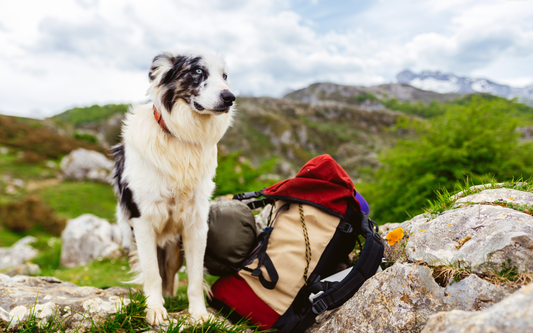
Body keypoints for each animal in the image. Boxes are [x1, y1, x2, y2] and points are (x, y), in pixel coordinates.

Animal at [111, 49, 234, 324]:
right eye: (197, 71)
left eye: (224, 76)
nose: (230, 98)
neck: (180, 139)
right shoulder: (142, 221)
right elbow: (151, 274)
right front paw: (154, 310)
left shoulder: (196, 224)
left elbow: (196, 277)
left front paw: (199, 314)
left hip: (174, 251)